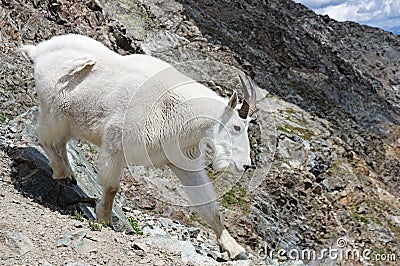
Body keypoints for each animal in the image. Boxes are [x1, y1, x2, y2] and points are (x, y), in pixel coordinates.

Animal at [22, 33, 256, 260]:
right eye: (237, 127)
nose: (245, 165)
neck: (177, 111)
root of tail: (39, 51)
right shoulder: (115, 144)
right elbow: (111, 187)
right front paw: (104, 221)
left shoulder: (184, 162)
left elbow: (209, 206)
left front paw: (235, 249)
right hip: (54, 113)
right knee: (45, 139)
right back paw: (62, 173)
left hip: (69, 122)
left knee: (59, 142)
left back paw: (68, 174)